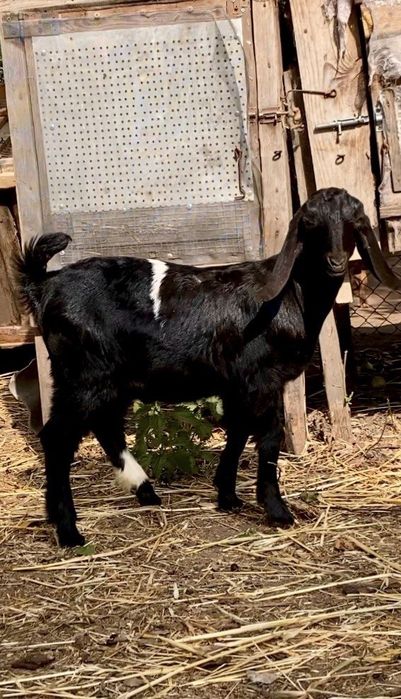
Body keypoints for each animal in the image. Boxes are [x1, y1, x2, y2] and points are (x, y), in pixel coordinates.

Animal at [16, 187, 401, 547]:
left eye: (353, 223)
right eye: (310, 224)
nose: (335, 262)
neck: (292, 295)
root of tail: (44, 285)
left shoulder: (238, 384)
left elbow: (238, 431)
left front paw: (228, 496)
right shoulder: (262, 379)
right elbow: (268, 437)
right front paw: (277, 511)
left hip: (101, 378)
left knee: (104, 427)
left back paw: (141, 490)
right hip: (86, 375)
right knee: (58, 437)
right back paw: (69, 530)